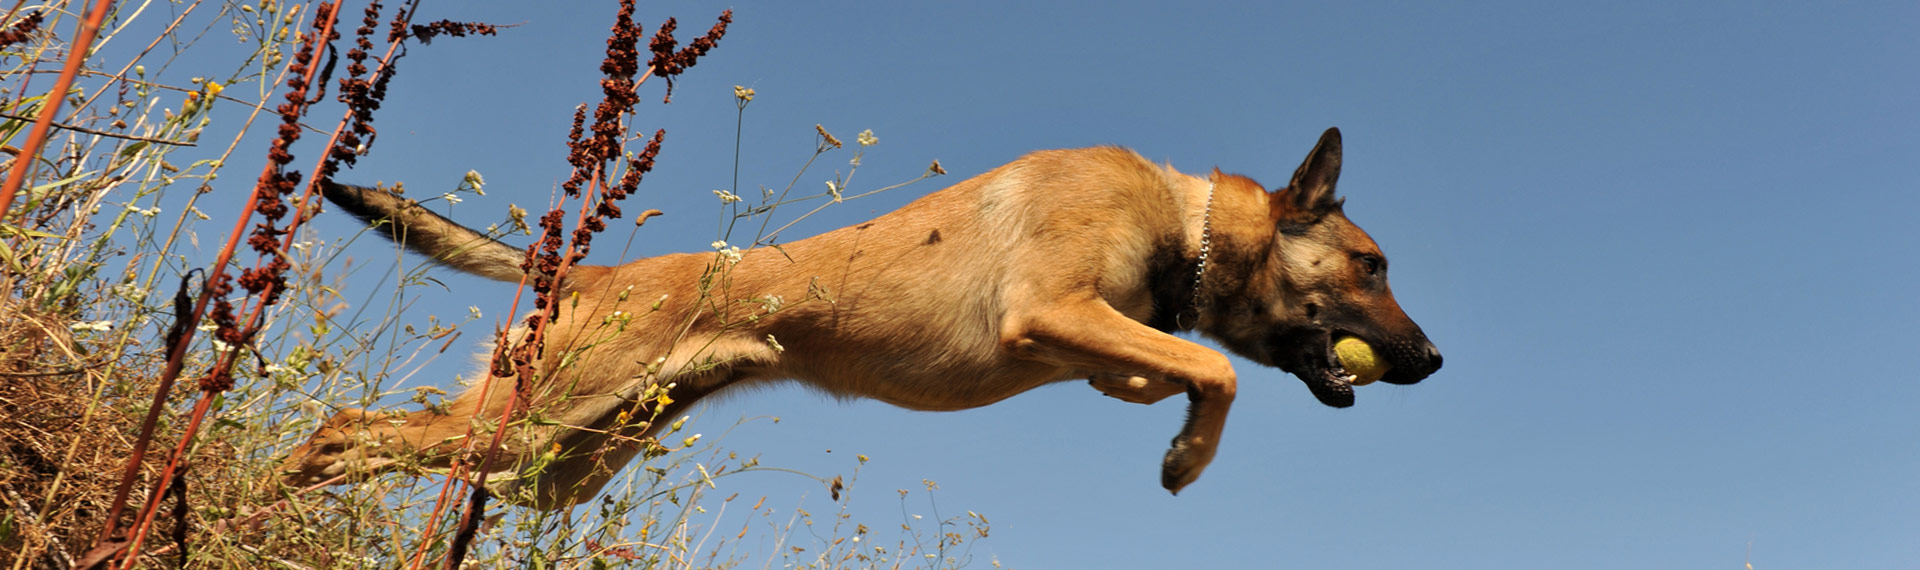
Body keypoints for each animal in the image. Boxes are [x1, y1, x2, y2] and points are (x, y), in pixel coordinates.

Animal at [282, 127, 1442, 509]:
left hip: (546, 470)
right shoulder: (1049, 307)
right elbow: (1224, 374)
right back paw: (255, 494)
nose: (1432, 359)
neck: (1184, 221)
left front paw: (1164, 411)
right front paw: (1188, 459)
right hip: (519, 426)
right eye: (1373, 265)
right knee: (342, 433)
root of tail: (597, 274)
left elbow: (1180, 368)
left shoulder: (1093, 332)